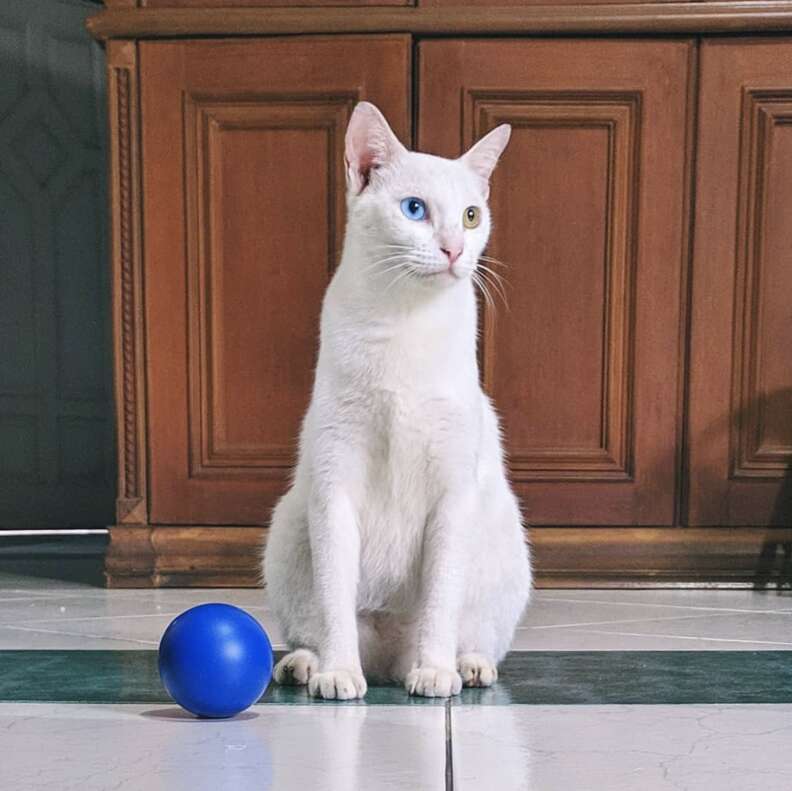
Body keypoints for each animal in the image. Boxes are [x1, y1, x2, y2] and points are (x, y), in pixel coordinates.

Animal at [262, 100, 528, 700]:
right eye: (414, 209)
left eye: (471, 216)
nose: (454, 249)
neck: (405, 326)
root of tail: (385, 656)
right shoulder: (334, 487)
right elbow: (334, 597)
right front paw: (339, 673)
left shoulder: (451, 497)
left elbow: (440, 600)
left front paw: (434, 672)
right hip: (288, 527)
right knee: (313, 627)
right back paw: (307, 665)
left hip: (507, 545)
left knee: (473, 635)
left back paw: (464, 666)